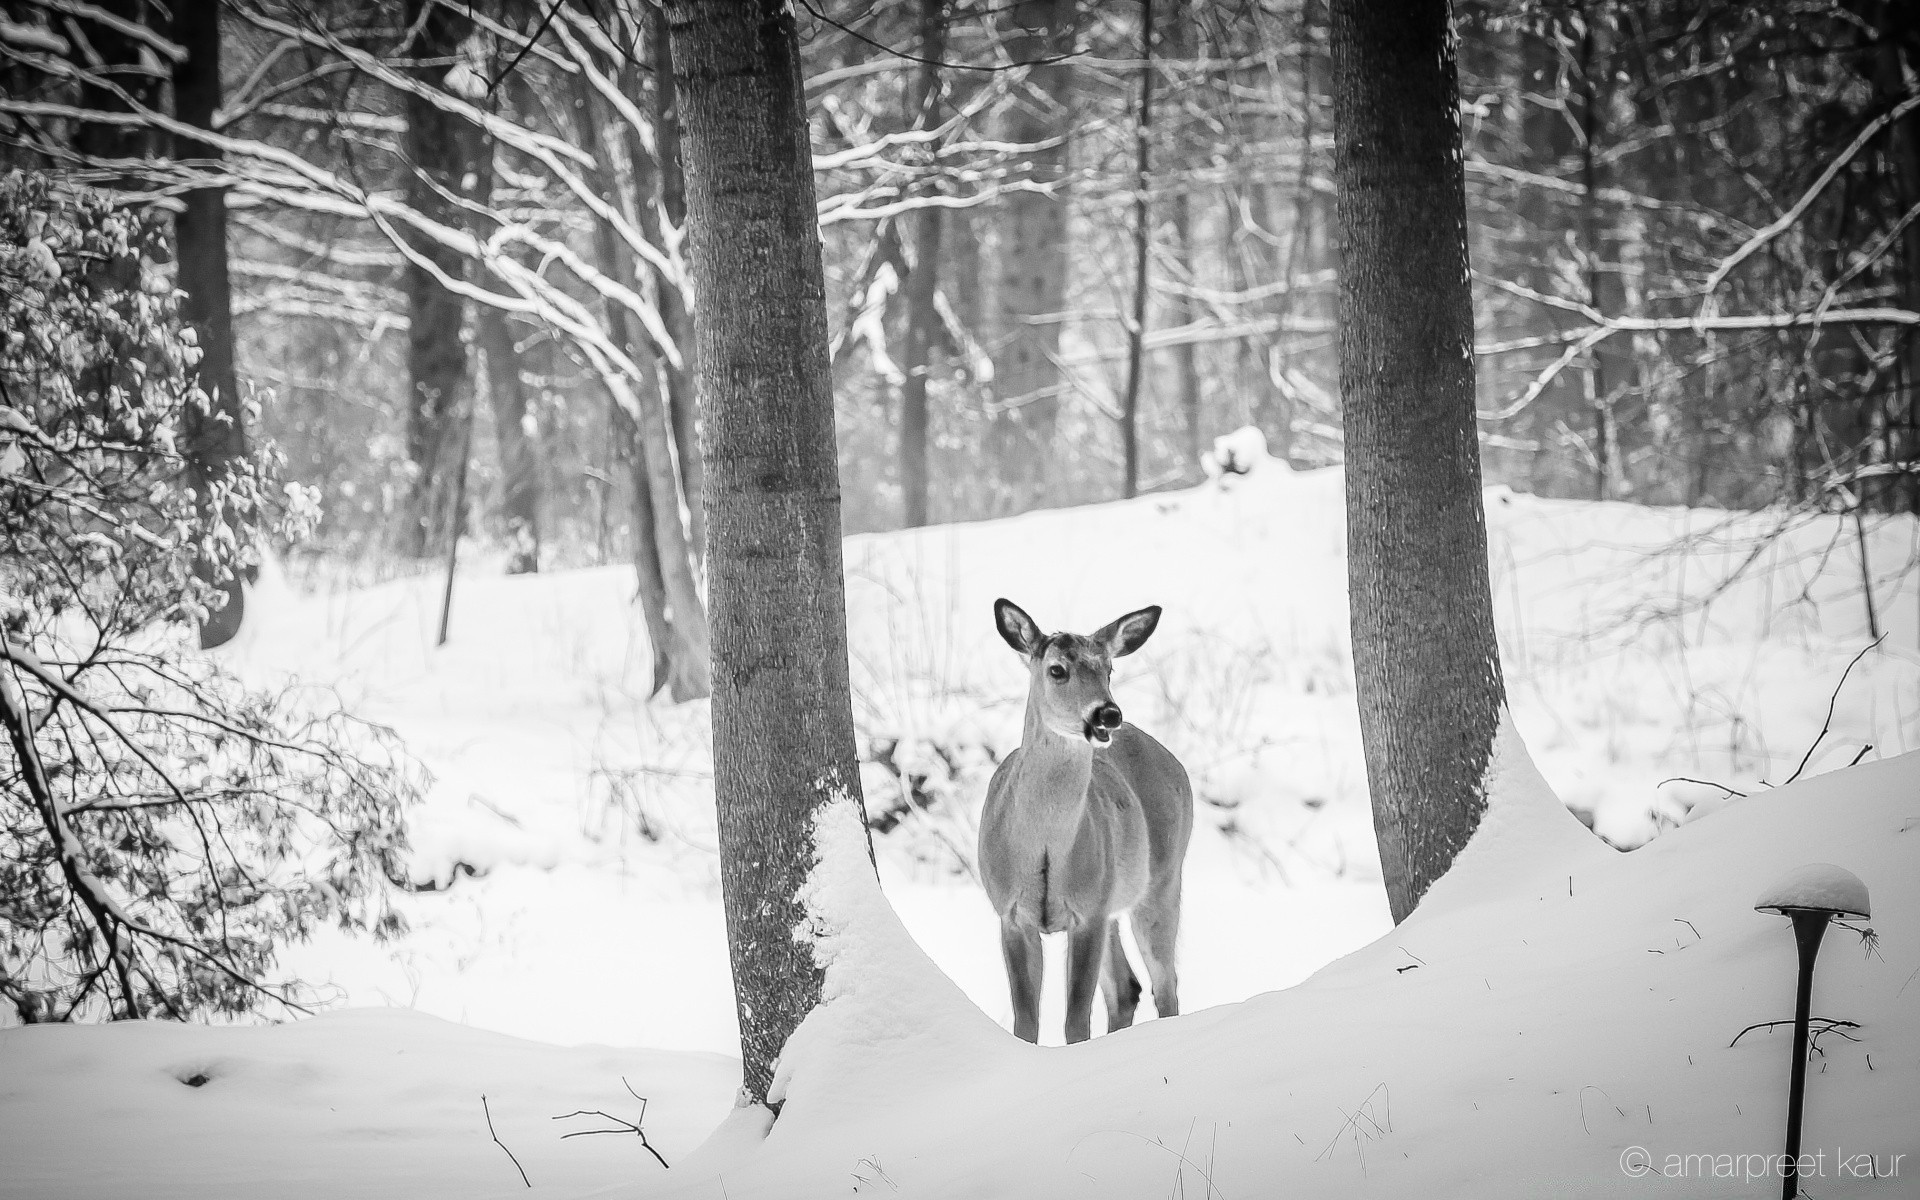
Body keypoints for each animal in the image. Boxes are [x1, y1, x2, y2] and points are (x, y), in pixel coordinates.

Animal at [983, 595, 1190, 1036]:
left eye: (1109, 669)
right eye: (1057, 669)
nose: (1107, 714)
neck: (1044, 847)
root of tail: (1176, 763)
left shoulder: (1087, 914)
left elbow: (1076, 1022)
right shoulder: (1011, 913)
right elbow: (1026, 1022)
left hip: (1163, 883)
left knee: (1165, 985)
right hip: (1115, 901)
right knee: (1127, 988)